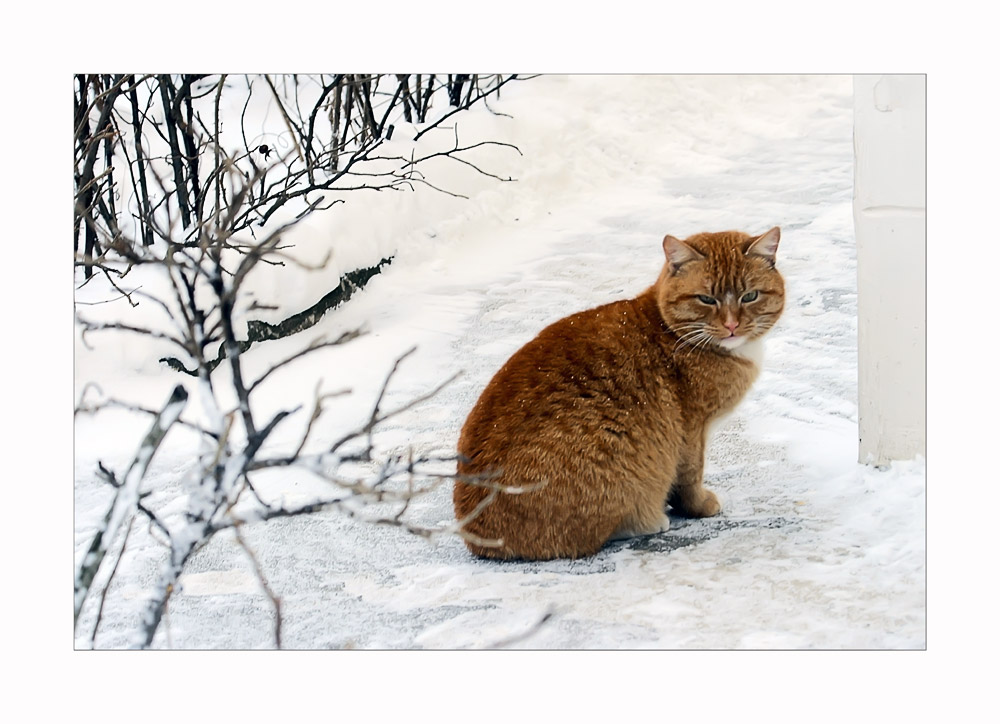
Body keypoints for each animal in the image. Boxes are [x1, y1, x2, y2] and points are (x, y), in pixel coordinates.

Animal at [450, 226, 784, 560]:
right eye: (706, 299)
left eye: (750, 296)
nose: (732, 325)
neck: (672, 331)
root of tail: (477, 534)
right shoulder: (691, 429)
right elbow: (690, 476)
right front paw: (698, 506)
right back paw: (647, 520)